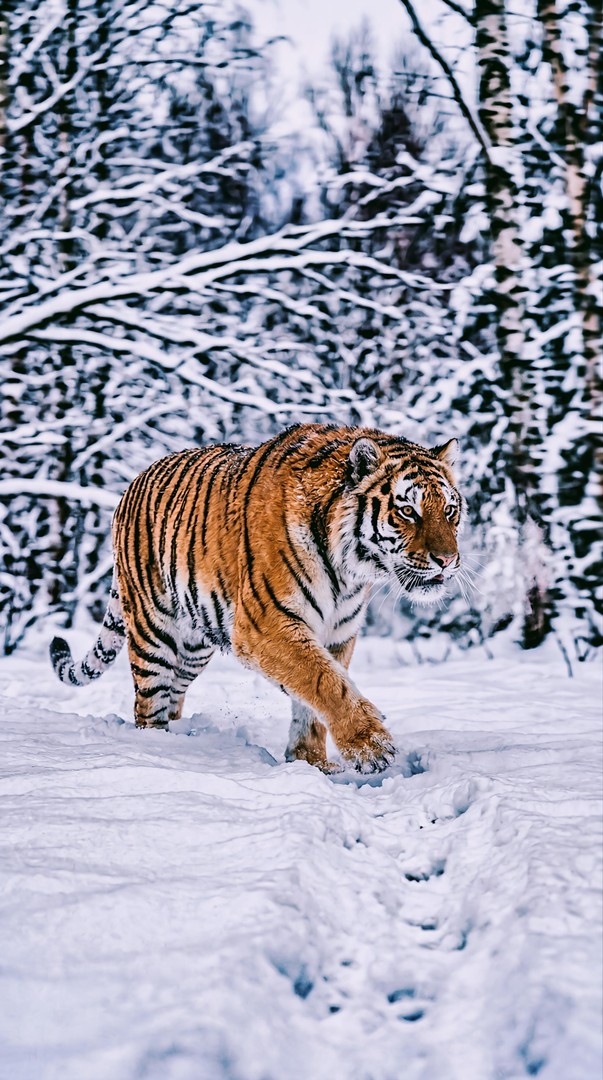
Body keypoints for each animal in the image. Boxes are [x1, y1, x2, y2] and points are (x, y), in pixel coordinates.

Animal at [50, 423, 464, 773]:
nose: (447, 560)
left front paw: (310, 762)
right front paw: (370, 746)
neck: (349, 570)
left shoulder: (337, 632)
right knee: (148, 704)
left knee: (173, 697)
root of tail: (132, 483)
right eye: (407, 511)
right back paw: (158, 751)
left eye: (450, 511)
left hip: (193, 647)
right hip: (154, 632)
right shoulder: (267, 624)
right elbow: (324, 681)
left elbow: (315, 698)